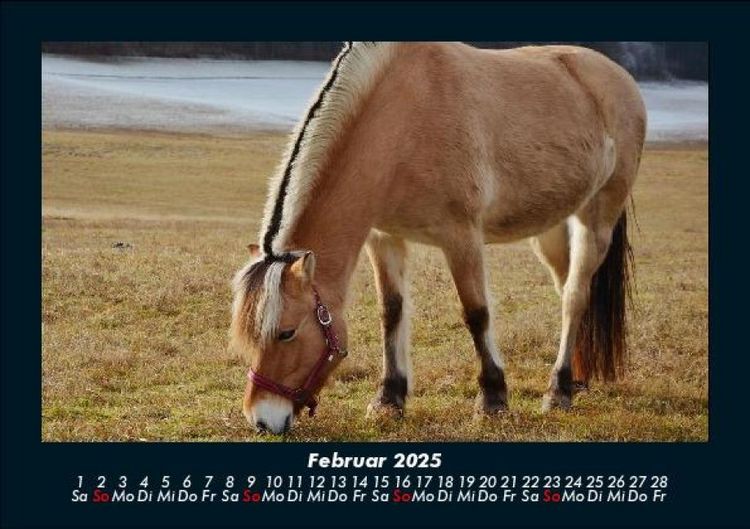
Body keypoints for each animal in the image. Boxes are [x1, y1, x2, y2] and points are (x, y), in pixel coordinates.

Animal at [231, 42, 646, 434]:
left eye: (286, 333)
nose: (262, 419)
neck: (404, 118)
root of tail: (619, 78)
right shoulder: (384, 237)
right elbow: (392, 312)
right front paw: (389, 399)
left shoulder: (461, 237)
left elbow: (476, 313)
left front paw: (492, 400)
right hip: (552, 230)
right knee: (568, 292)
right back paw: (577, 380)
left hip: (596, 218)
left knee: (575, 297)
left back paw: (558, 391)